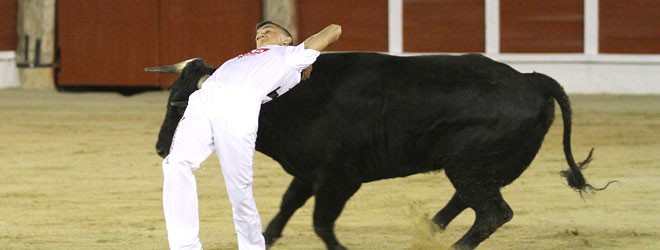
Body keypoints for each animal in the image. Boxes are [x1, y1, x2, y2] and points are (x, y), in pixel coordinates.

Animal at [150, 51, 608, 249]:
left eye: (178, 105)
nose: (159, 148)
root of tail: (532, 79)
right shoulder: (310, 173)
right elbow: (285, 209)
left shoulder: (339, 178)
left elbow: (321, 224)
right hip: (478, 167)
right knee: (472, 202)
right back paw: (432, 231)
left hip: (469, 165)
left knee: (493, 212)